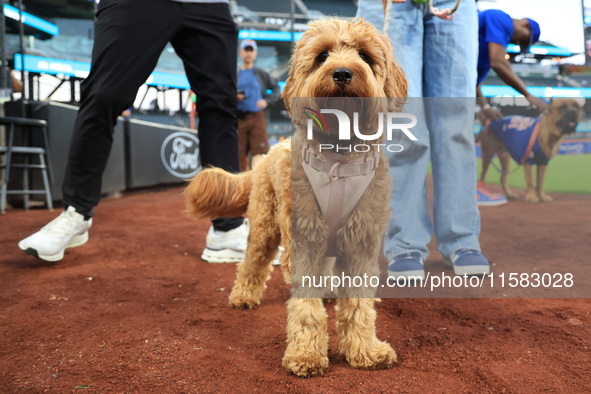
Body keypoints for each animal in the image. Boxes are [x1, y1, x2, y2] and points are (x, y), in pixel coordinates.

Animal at [187, 18, 410, 376]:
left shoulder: (361, 243)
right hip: (265, 227)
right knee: (252, 262)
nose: (343, 73)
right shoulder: (304, 239)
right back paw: (244, 295)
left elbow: (358, 304)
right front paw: (306, 354)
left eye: (364, 55)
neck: (338, 157)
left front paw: (364, 350)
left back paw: (329, 291)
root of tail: (270, 151)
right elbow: (306, 307)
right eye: (322, 57)